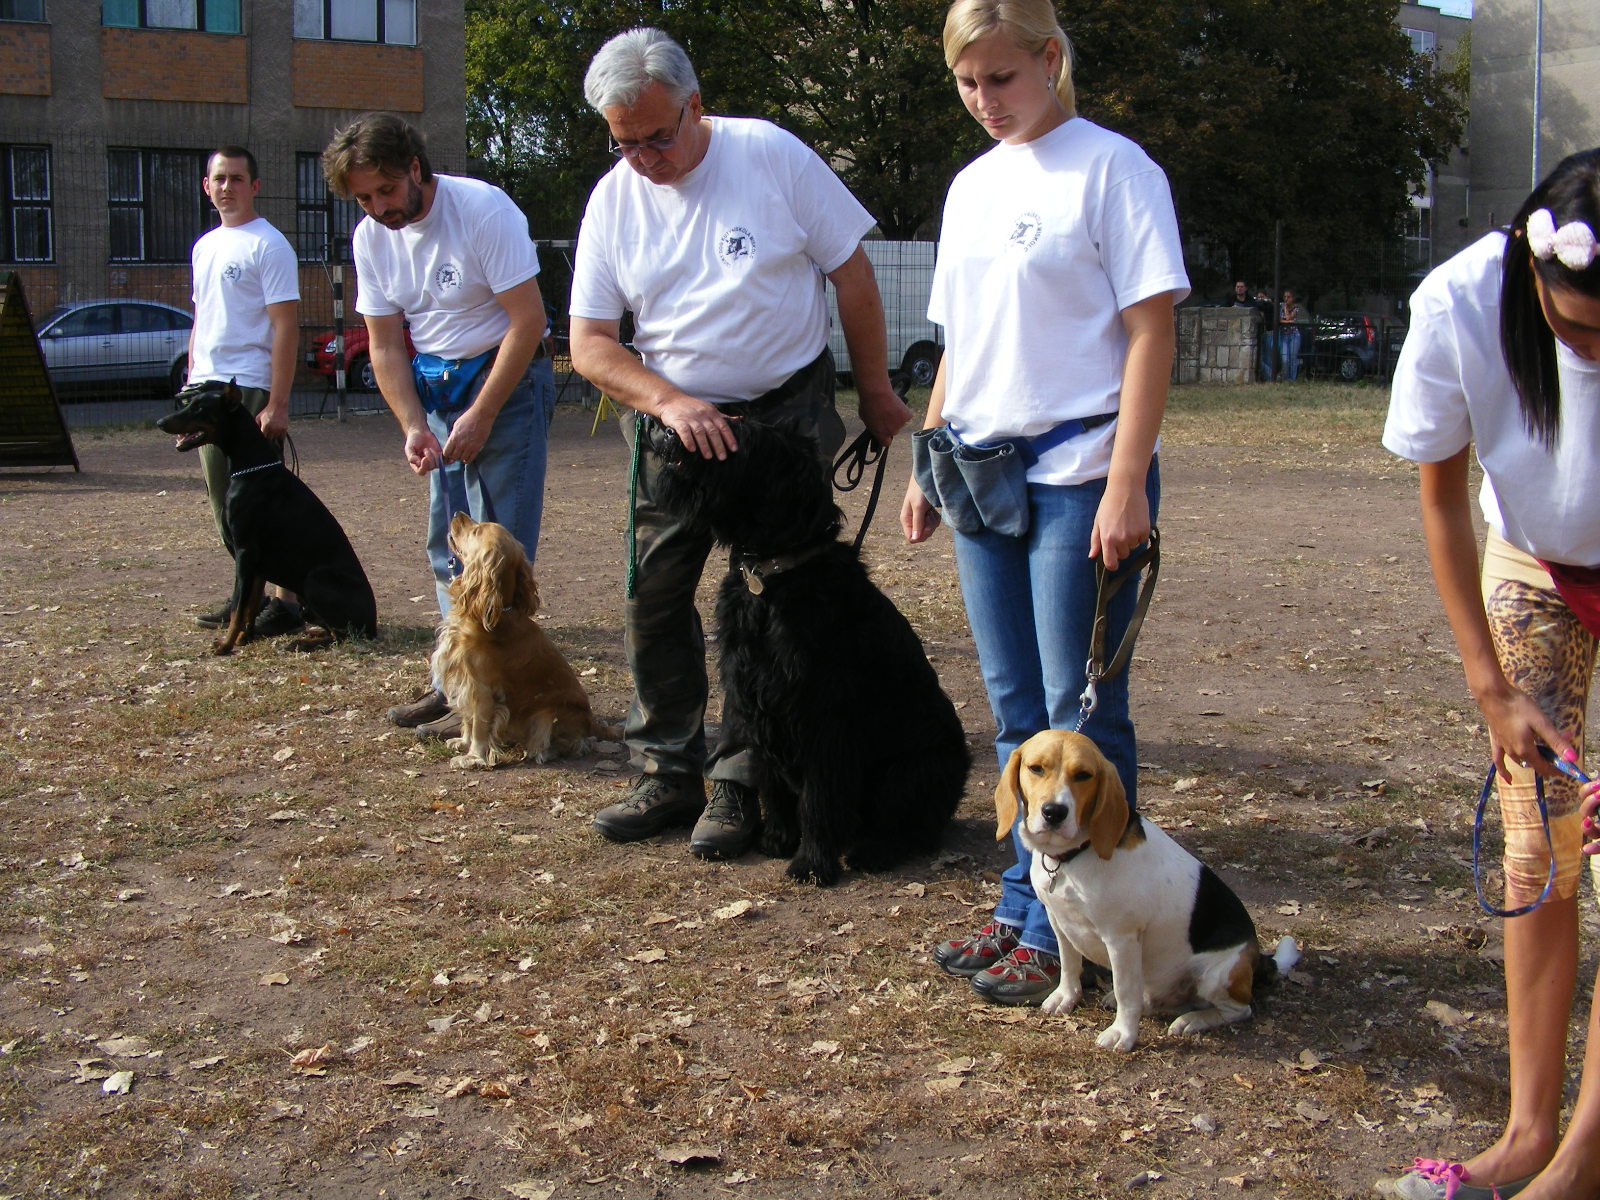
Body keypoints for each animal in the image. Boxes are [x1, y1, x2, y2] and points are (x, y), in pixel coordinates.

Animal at [652, 419, 972, 889]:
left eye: (742, 437)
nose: (671, 431)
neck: (773, 578)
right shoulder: (757, 702)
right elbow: (774, 785)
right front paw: (779, 838)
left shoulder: (824, 718)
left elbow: (819, 799)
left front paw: (812, 862)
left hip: (915, 769)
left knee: (908, 827)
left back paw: (872, 851)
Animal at [998, 723, 1299, 1049]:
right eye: (1036, 768)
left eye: (1083, 775)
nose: (1054, 812)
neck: (1074, 856)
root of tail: (1259, 959)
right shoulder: (1059, 921)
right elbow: (1069, 964)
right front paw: (1066, 997)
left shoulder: (1121, 939)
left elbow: (1126, 990)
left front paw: (1123, 1033)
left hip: (1218, 974)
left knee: (1238, 1009)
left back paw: (1191, 1021)